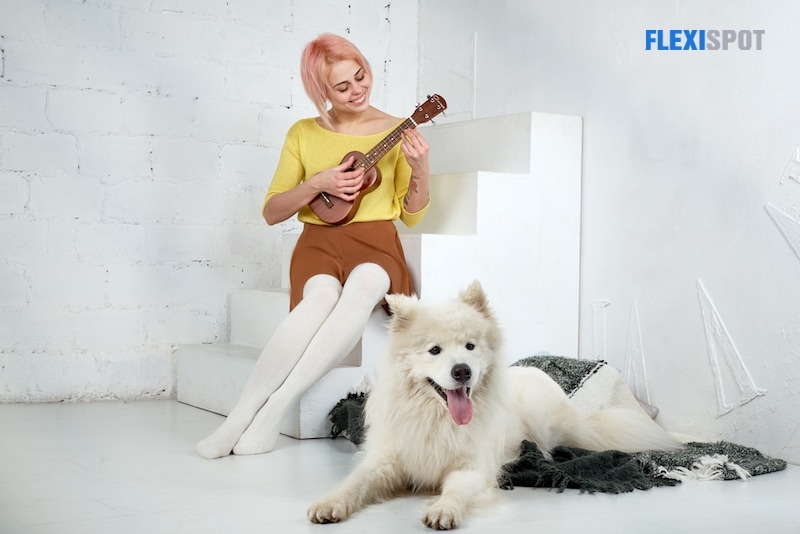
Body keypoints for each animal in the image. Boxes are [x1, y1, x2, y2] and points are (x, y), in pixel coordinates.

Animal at [306, 282, 680, 528]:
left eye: (470, 346)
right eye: (434, 350)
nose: (462, 370)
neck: (437, 419)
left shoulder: (472, 468)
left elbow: (456, 490)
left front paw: (443, 510)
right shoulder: (385, 460)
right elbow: (354, 484)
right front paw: (329, 504)